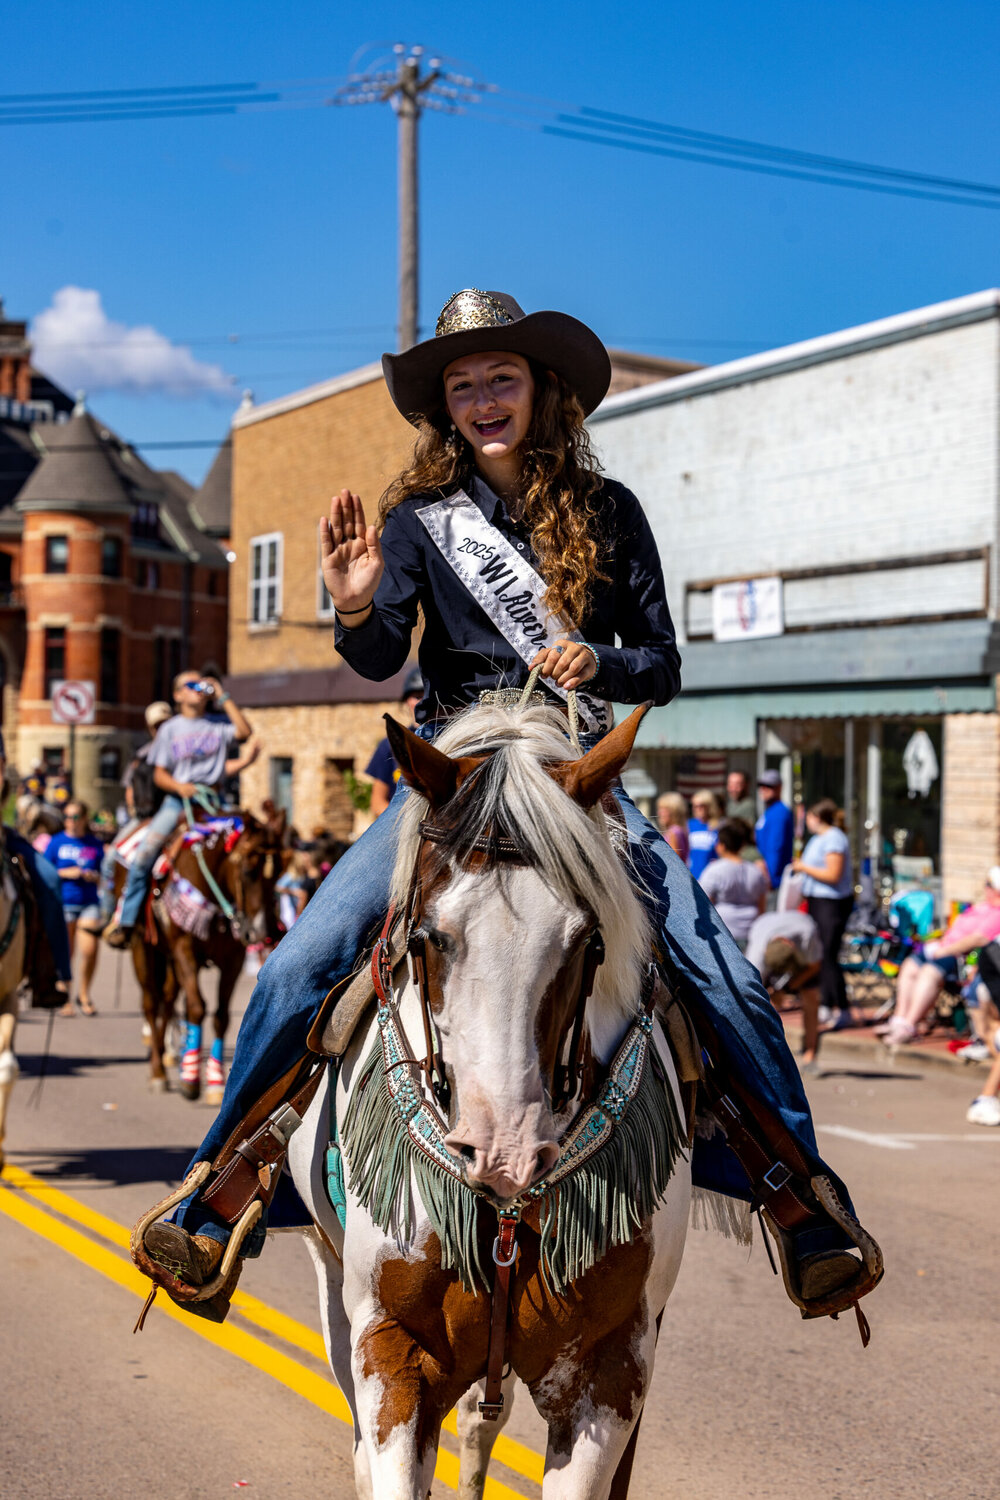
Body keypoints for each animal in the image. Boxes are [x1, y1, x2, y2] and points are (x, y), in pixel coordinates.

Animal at [284, 702, 692, 1500]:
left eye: (586, 939)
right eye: (430, 936)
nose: (504, 1150)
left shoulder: (611, 1369)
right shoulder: (392, 1352)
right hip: (329, 1278)